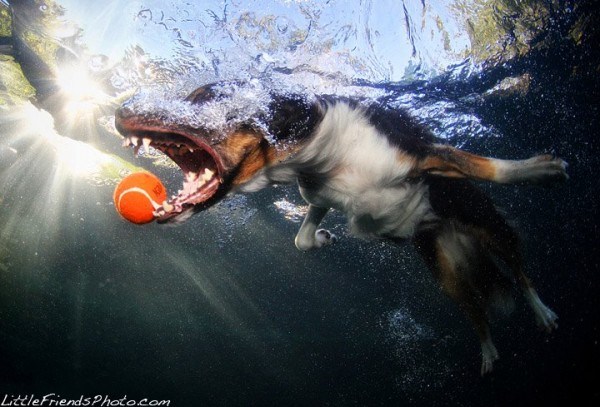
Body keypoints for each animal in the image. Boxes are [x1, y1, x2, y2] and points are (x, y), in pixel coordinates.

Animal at [116, 82, 568, 376]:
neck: (321, 158)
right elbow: (301, 237)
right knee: (476, 310)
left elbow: (486, 165)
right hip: (446, 273)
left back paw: (543, 312)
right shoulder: (321, 194)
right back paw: (489, 350)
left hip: (487, 226)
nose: (119, 110)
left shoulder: (421, 150)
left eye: (203, 98)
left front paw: (538, 168)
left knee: (519, 271)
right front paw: (322, 237)